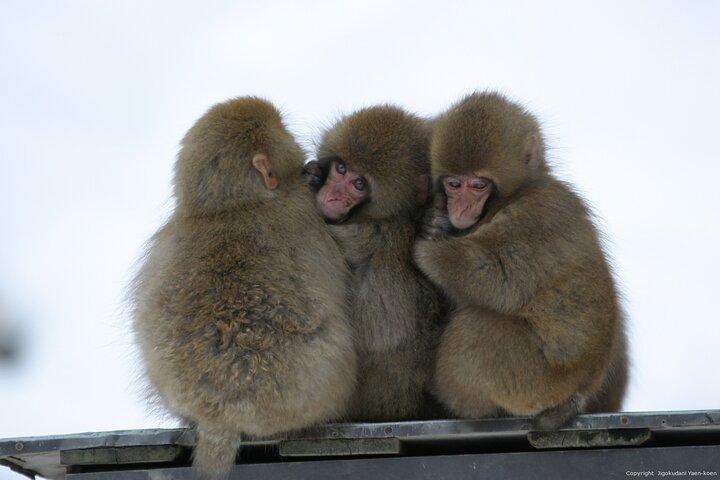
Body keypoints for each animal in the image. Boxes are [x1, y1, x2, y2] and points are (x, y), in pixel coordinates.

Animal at [414, 92, 628, 429]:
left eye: (478, 185)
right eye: (453, 184)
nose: (460, 209)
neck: (517, 194)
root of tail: (581, 388)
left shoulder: (535, 218)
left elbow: (497, 278)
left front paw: (426, 250)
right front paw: (433, 224)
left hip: (532, 380)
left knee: (475, 330)